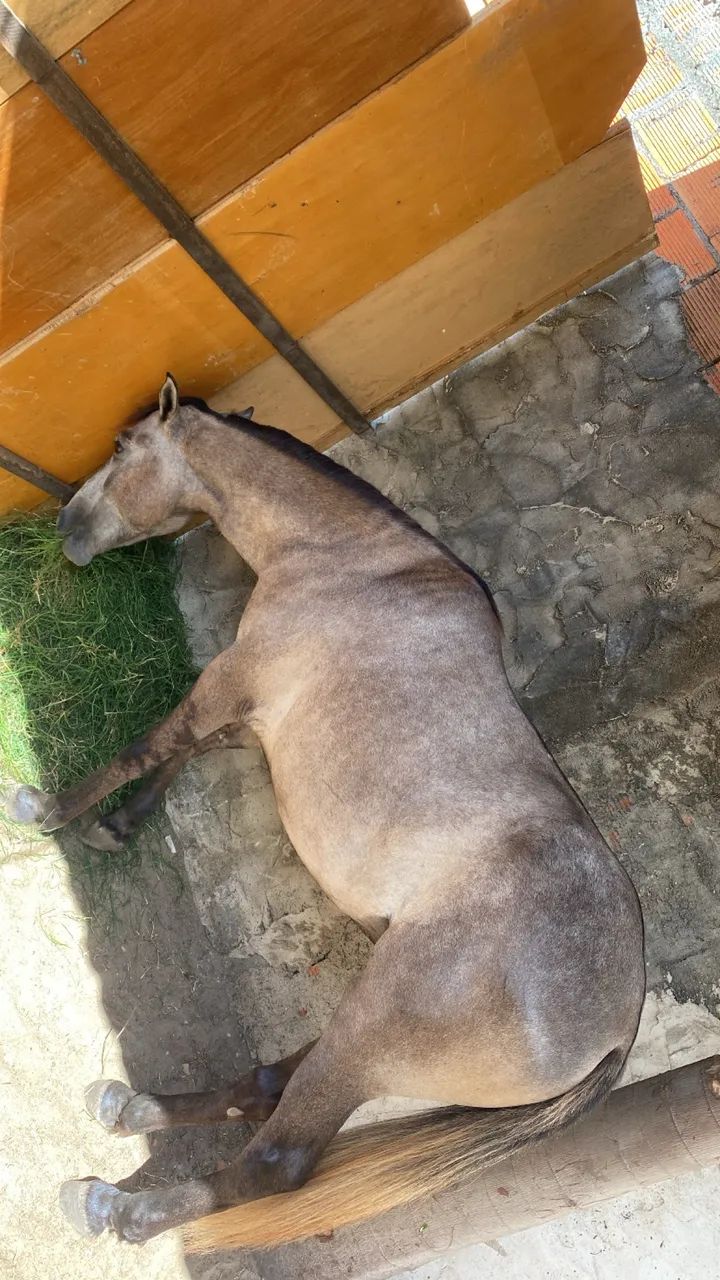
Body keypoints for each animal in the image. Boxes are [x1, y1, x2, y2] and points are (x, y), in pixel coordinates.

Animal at [5, 375, 644, 1250]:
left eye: (124, 448)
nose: (67, 526)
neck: (352, 562)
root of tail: (618, 1028)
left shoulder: (234, 679)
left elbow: (150, 745)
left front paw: (50, 808)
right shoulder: (253, 715)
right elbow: (184, 754)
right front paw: (119, 825)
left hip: (368, 1033)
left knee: (272, 1164)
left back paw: (115, 1206)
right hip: (357, 1008)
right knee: (269, 1084)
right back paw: (130, 1107)